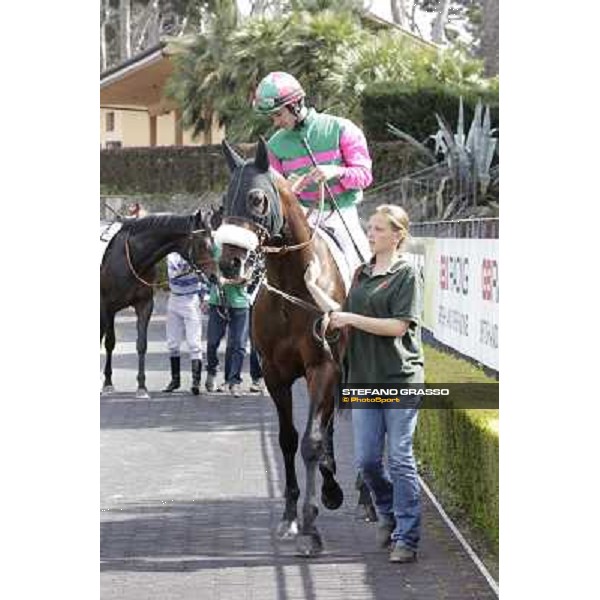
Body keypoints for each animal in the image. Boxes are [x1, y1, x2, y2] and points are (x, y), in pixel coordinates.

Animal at [99, 211, 217, 398]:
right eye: (202, 244)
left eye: (213, 240)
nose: (215, 275)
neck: (130, 257)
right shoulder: (107, 306)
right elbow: (109, 342)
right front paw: (108, 384)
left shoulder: (144, 305)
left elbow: (141, 344)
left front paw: (141, 387)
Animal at [217, 137, 350, 556]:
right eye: (224, 201)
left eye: (257, 199)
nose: (230, 264)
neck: (295, 288)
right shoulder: (275, 374)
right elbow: (289, 440)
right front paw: (291, 517)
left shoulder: (322, 368)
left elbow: (311, 440)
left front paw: (310, 525)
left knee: (330, 425)